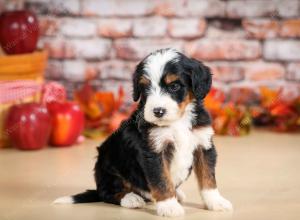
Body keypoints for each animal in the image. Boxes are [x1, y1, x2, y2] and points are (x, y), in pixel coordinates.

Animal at [54, 48, 233, 217]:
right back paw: (131, 198)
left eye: (174, 86)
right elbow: (161, 180)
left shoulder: (203, 145)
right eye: (145, 87)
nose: (158, 111)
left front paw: (216, 201)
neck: (177, 122)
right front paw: (169, 206)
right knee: (108, 193)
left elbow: (208, 177)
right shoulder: (153, 151)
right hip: (108, 166)